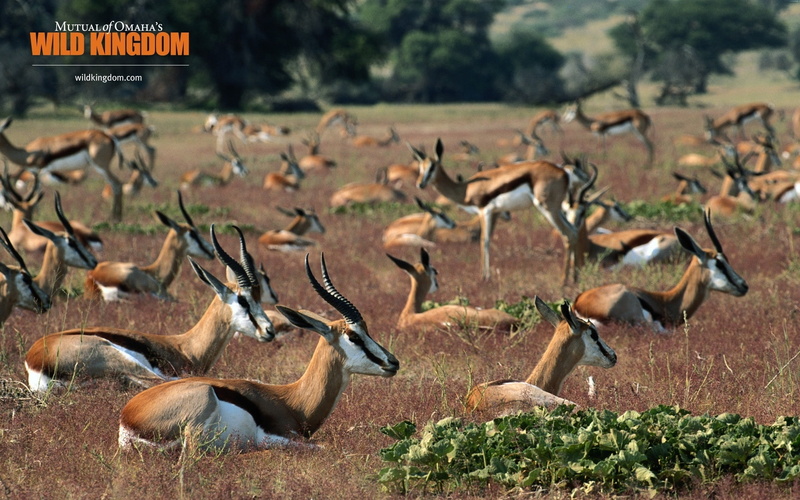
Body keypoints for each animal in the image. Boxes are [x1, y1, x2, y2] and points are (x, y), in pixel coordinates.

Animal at [25, 226, 275, 392]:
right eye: (243, 300)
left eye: (258, 298)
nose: (269, 331)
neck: (186, 348)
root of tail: (35, 357)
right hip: (119, 358)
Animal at [117, 253, 399, 452]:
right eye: (354, 336)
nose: (393, 362)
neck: (294, 402)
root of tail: (128, 417)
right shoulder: (281, 438)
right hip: (201, 410)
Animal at [413, 138, 589, 283]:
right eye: (421, 167)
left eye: (432, 167)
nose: (420, 184)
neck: (466, 189)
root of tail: (564, 172)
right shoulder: (495, 212)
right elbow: (488, 239)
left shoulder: (485, 211)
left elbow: (484, 241)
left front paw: (484, 277)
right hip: (557, 208)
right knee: (574, 231)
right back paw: (575, 278)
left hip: (547, 208)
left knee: (567, 234)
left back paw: (564, 281)